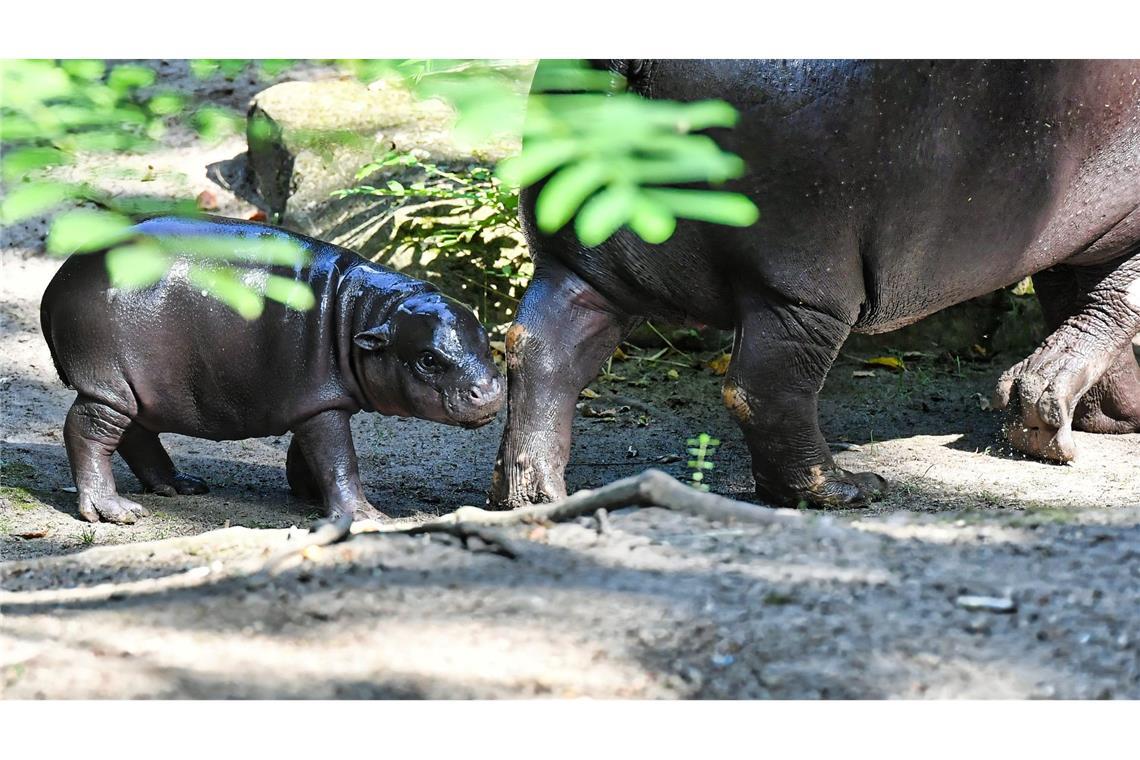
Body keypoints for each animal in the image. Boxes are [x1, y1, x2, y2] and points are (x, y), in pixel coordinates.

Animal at [42, 214, 501, 524]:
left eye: (486, 338)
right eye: (428, 359)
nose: (491, 389)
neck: (367, 312)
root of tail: (58, 281)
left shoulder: (317, 401)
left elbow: (313, 454)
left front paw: (310, 495)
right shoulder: (322, 405)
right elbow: (340, 460)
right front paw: (366, 516)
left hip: (139, 388)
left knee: (136, 433)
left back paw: (181, 485)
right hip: (109, 384)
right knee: (88, 430)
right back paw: (114, 511)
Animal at [492, 60, 1140, 510]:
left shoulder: (1080, 236)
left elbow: (1083, 307)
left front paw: (1083, 415)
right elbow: (1114, 309)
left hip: (578, 263)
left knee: (542, 349)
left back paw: (532, 496)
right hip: (805, 289)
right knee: (764, 388)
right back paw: (847, 489)